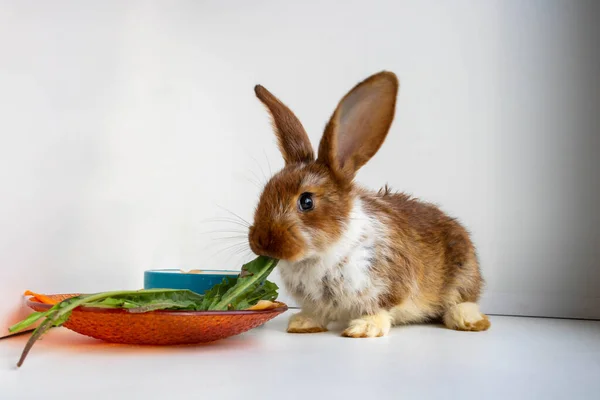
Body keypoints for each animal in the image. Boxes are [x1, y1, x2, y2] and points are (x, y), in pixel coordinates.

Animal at [246, 70, 490, 336]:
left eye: (306, 201)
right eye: (266, 191)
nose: (261, 241)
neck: (324, 251)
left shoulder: (388, 284)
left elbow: (379, 309)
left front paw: (362, 328)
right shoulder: (317, 302)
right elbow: (317, 312)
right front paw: (302, 324)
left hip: (463, 273)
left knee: (463, 300)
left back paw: (468, 320)